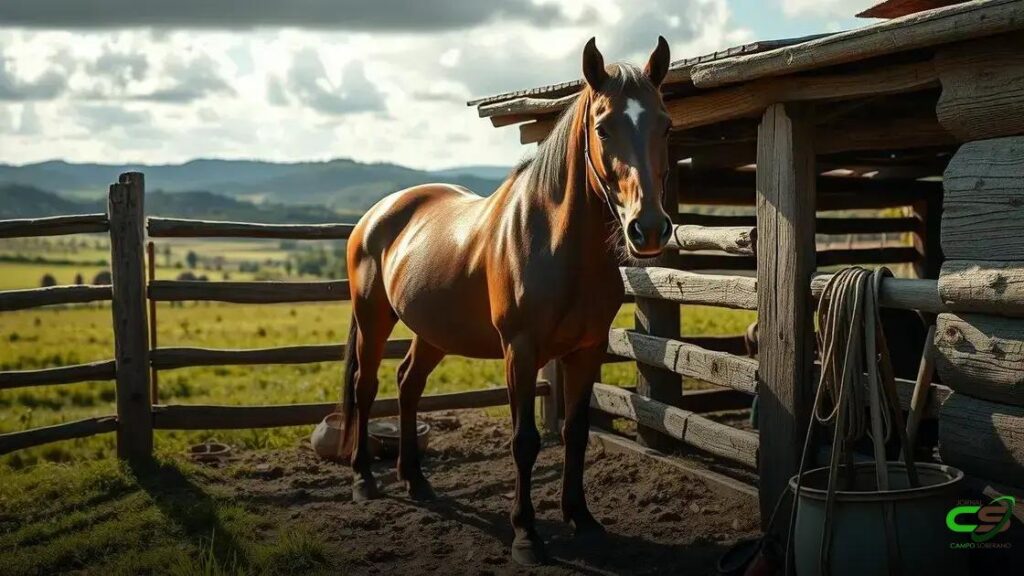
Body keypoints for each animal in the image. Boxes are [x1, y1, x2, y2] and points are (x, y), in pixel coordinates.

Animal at [338, 36, 674, 566]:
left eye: (665, 124)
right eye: (603, 127)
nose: (651, 228)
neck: (558, 244)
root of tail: (377, 214)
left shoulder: (588, 350)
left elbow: (576, 433)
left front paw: (582, 519)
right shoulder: (520, 350)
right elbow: (524, 442)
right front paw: (526, 534)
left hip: (434, 331)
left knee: (408, 383)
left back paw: (415, 480)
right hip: (373, 319)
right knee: (365, 386)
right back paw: (363, 480)